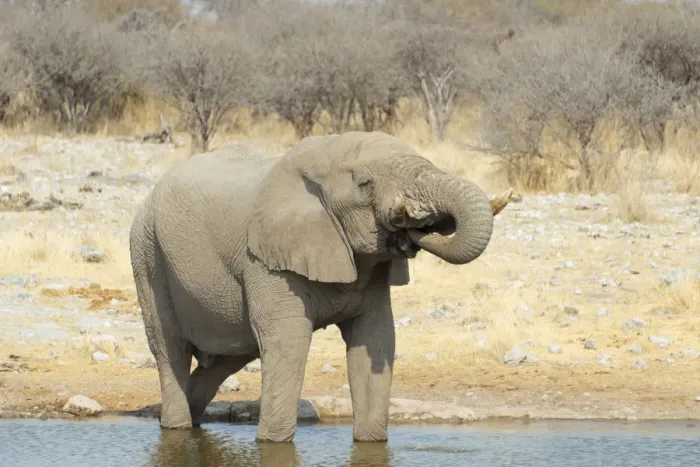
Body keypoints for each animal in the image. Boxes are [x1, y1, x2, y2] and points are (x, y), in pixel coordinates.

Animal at [129, 131, 512, 443]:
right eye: (365, 183)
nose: (412, 225)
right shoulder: (267, 262)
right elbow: (288, 342)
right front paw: (271, 443)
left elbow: (376, 339)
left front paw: (370, 441)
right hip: (147, 253)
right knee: (171, 349)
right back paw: (176, 426)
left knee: (228, 358)